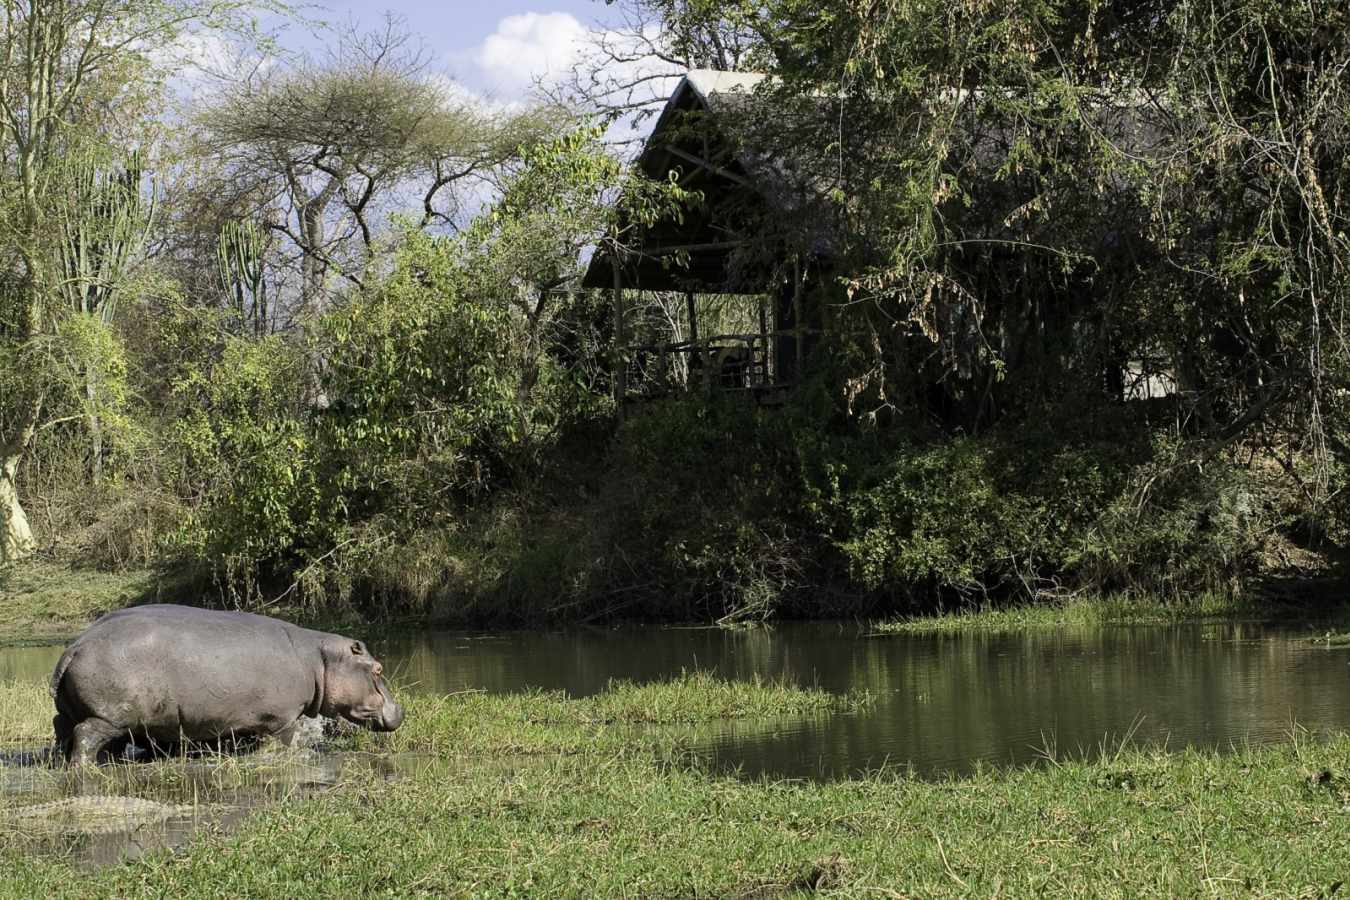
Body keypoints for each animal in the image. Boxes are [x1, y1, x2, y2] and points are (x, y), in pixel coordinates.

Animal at [50, 605, 404, 765]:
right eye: (377, 668)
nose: (400, 710)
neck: (319, 659)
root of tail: (74, 647)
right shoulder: (283, 719)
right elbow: (285, 743)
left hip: (74, 713)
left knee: (66, 731)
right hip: (108, 716)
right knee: (85, 736)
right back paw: (86, 769)